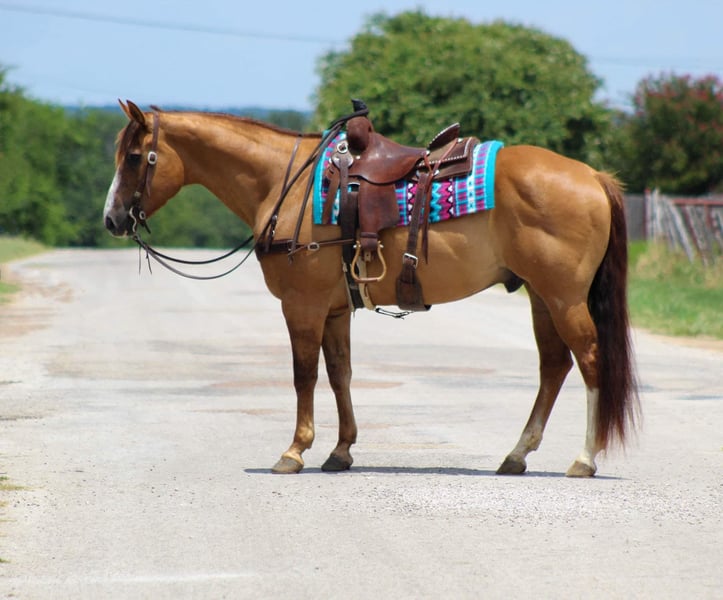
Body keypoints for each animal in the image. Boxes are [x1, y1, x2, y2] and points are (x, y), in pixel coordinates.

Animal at [104, 100, 638, 477]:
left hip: (564, 298)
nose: (112, 219)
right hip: (542, 297)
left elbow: (304, 376)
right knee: (554, 367)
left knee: (589, 361)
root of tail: (593, 175)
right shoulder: (336, 309)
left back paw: (584, 459)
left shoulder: (302, 306)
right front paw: (340, 451)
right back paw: (516, 455)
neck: (285, 184)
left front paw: (294, 451)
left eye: (134, 157)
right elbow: (340, 374)